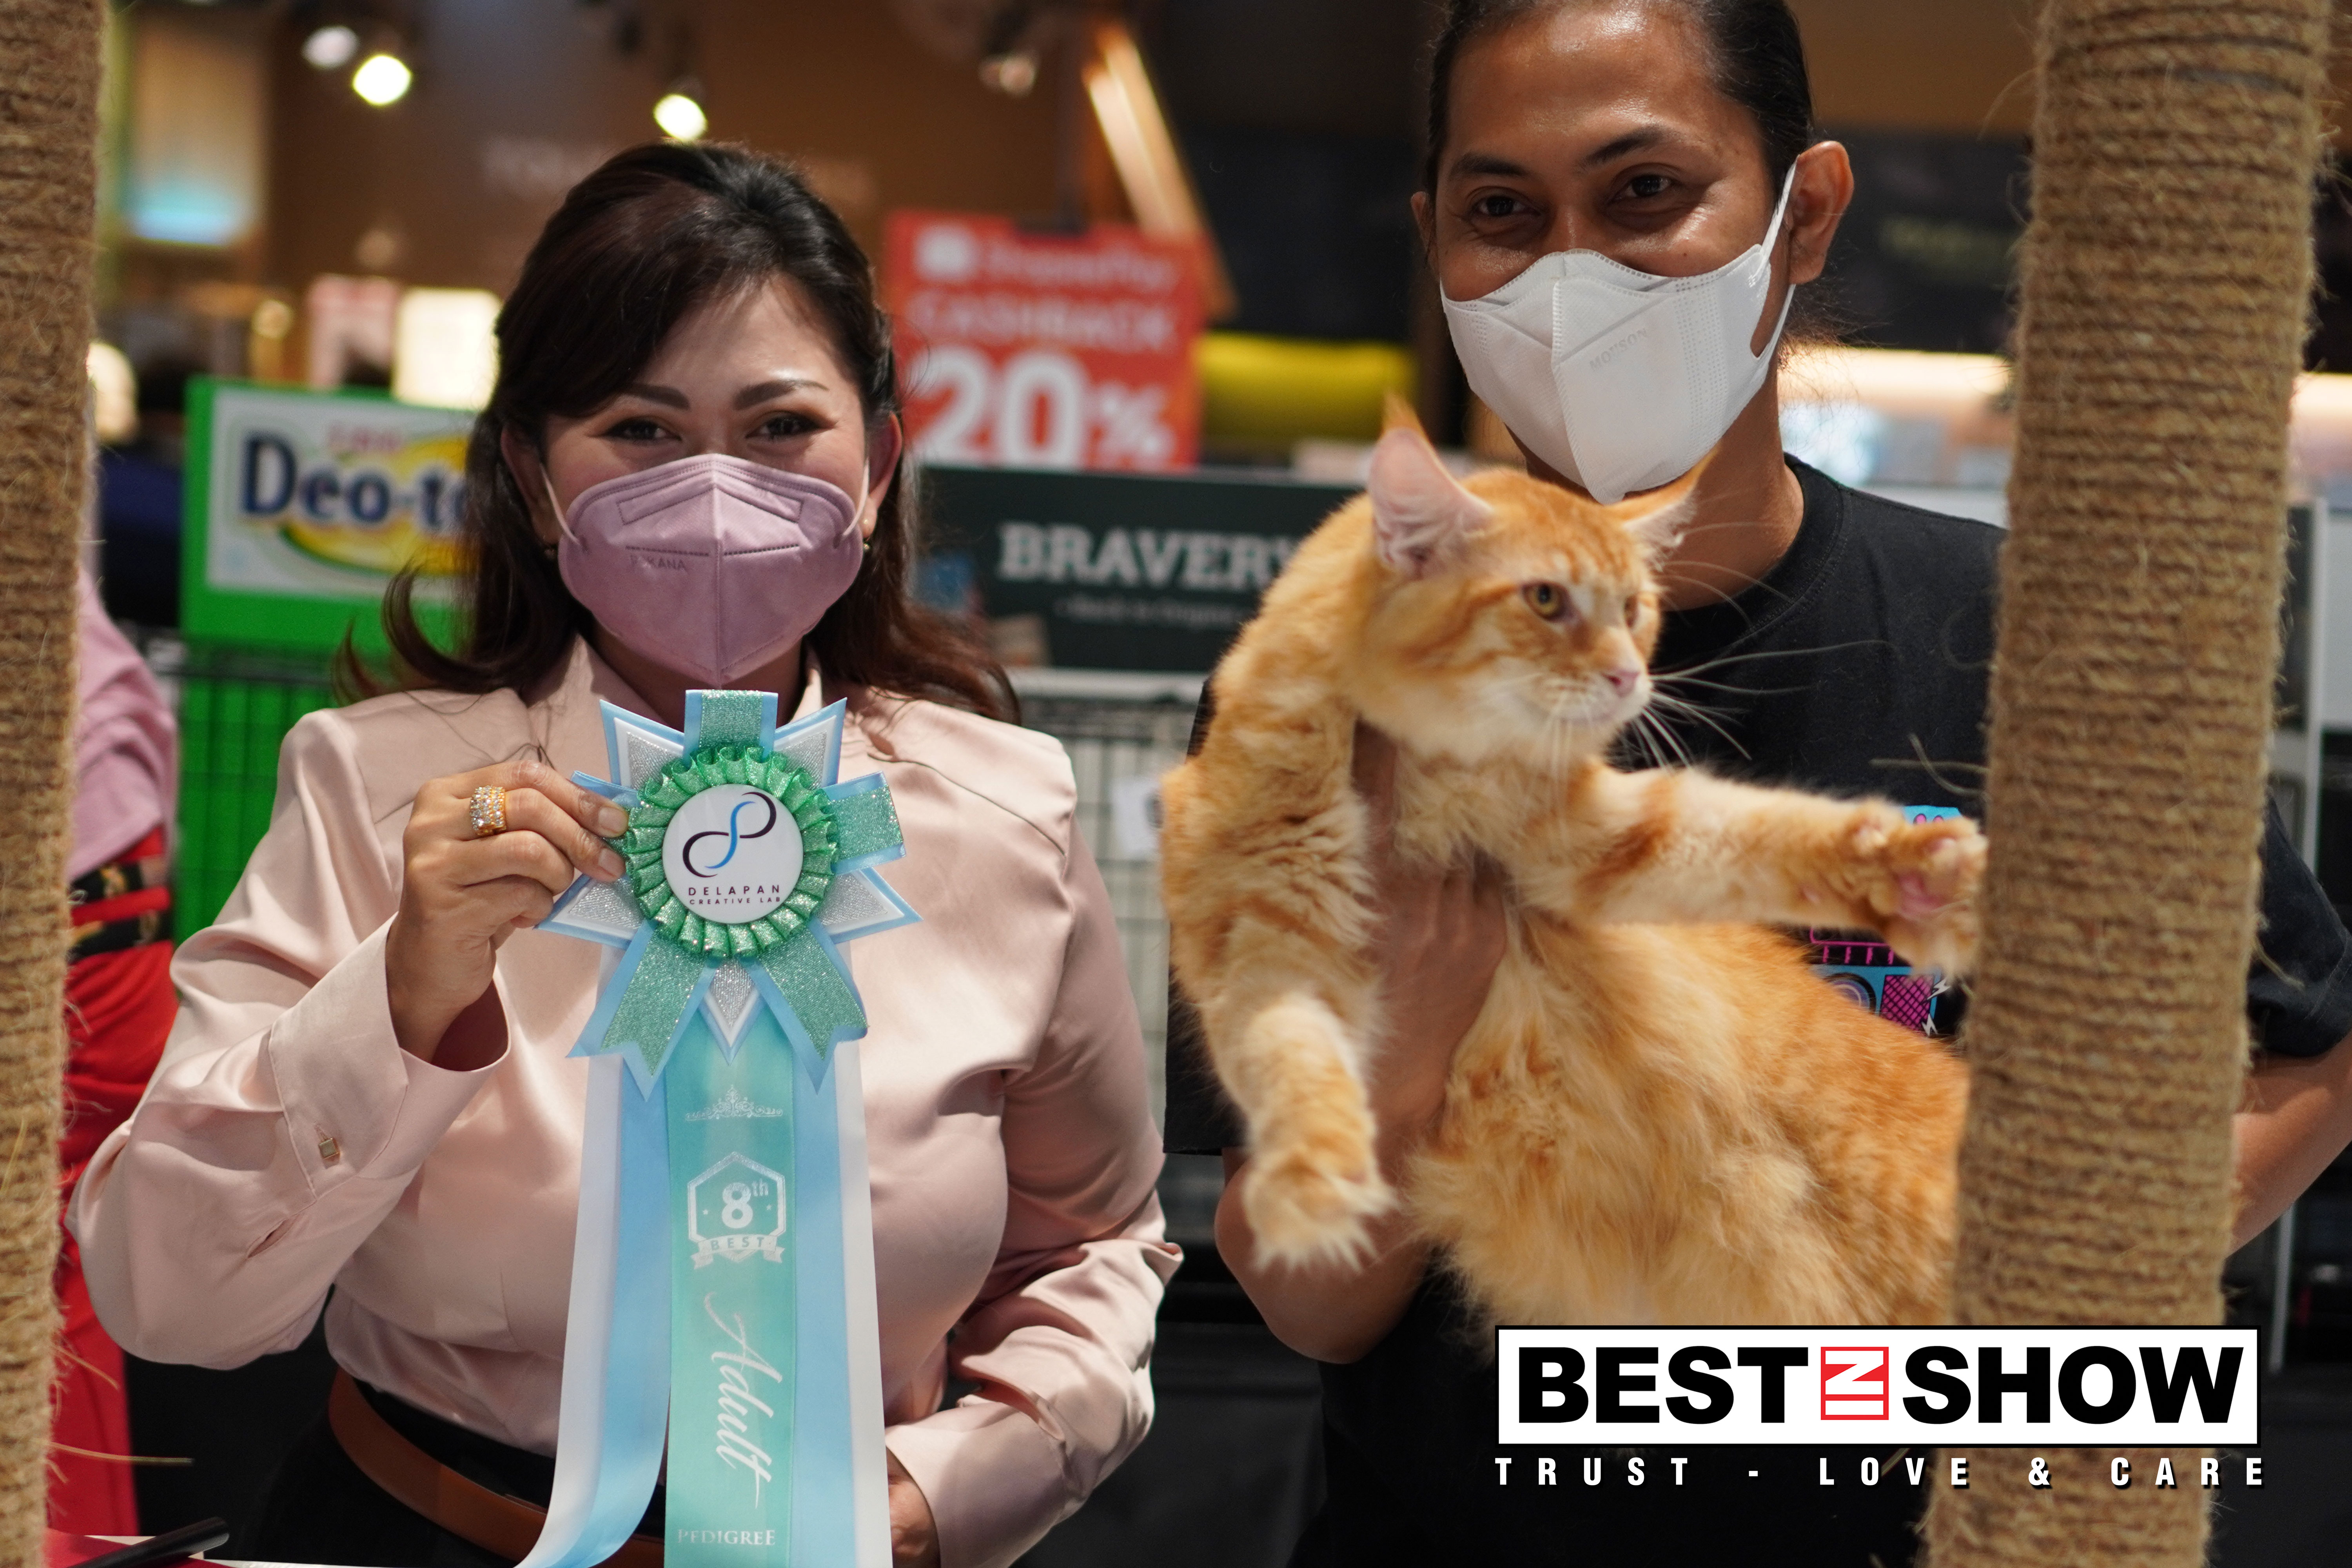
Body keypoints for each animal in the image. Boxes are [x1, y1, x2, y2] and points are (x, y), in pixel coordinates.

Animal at [1159, 418, 1979, 1327]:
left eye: (1634, 609)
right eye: (1546, 600)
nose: (1630, 676)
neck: (1433, 778)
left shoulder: (1597, 846)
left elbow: (1758, 831)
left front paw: (1921, 878)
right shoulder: (1266, 952)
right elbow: (1293, 1062)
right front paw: (1315, 1178)